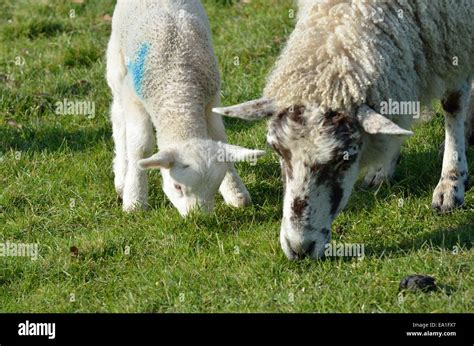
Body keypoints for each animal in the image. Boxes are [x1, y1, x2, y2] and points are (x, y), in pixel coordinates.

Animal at [105, 0, 264, 216]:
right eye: (177, 187)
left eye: (214, 187)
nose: (198, 218)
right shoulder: (135, 99)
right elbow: (141, 146)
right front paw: (135, 200)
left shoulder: (211, 99)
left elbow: (219, 138)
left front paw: (236, 193)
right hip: (117, 66)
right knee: (119, 120)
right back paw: (122, 177)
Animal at [215, 0, 474, 260]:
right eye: (278, 151)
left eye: (343, 159)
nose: (299, 249)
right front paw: (383, 169)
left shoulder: (455, 34)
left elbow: (453, 103)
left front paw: (451, 183)